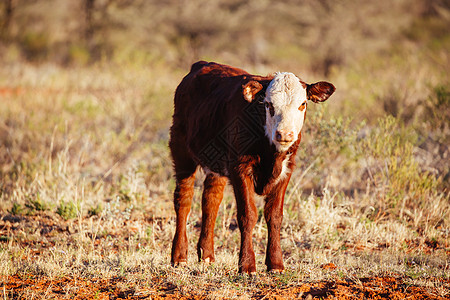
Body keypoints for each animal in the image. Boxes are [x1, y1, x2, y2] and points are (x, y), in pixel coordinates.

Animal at [169, 61, 334, 274]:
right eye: (268, 104)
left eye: (303, 104)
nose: (285, 134)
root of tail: (202, 64)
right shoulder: (240, 168)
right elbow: (248, 214)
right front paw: (247, 265)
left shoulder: (286, 170)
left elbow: (274, 216)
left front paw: (276, 264)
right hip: (181, 149)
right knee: (184, 199)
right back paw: (179, 256)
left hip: (217, 164)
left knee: (211, 201)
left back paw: (206, 255)